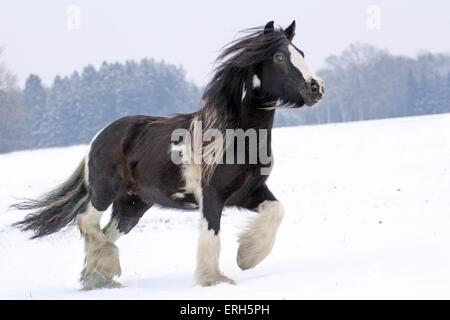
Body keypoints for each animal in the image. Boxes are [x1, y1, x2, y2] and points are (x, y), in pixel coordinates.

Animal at [13, 20, 324, 290]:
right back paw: (105, 270)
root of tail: (99, 137)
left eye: (301, 53)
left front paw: (246, 257)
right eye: (279, 57)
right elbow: (211, 234)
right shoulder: (212, 195)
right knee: (87, 222)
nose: (316, 87)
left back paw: (97, 278)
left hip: (133, 205)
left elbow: (277, 212)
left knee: (107, 232)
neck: (236, 135)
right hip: (104, 191)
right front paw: (212, 279)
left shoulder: (250, 191)